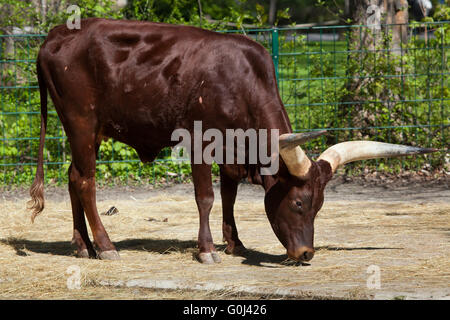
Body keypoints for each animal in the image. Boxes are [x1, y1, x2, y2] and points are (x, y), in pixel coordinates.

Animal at [29, 18, 436, 264]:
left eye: (319, 207)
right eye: (299, 204)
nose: (306, 253)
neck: (241, 80)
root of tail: (55, 35)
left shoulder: (232, 149)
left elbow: (229, 195)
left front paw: (234, 242)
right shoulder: (199, 141)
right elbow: (206, 197)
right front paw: (207, 250)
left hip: (87, 131)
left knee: (72, 177)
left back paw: (82, 246)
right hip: (82, 123)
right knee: (86, 182)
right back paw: (106, 246)